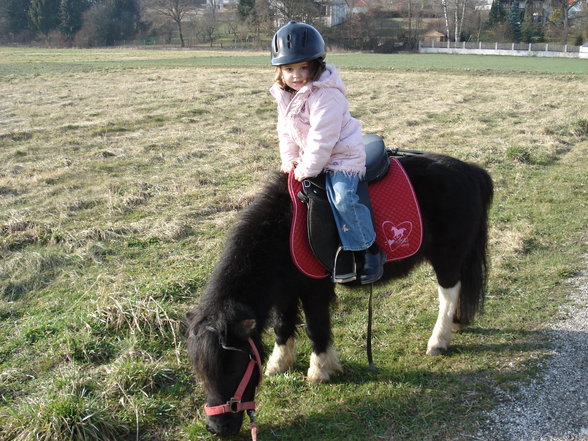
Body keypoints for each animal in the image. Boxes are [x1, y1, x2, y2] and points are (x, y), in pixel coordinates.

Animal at [186, 153, 494, 434]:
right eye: (201, 371)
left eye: (233, 366)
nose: (216, 428)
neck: (282, 228)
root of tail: (470, 170)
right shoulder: (286, 289)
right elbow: (282, 326)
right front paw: (279, 364)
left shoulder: (315, 288)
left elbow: (316, 327)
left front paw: (321, 370)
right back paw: (456, 324)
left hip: (447, 256)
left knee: (448, 294)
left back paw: (438, 341)